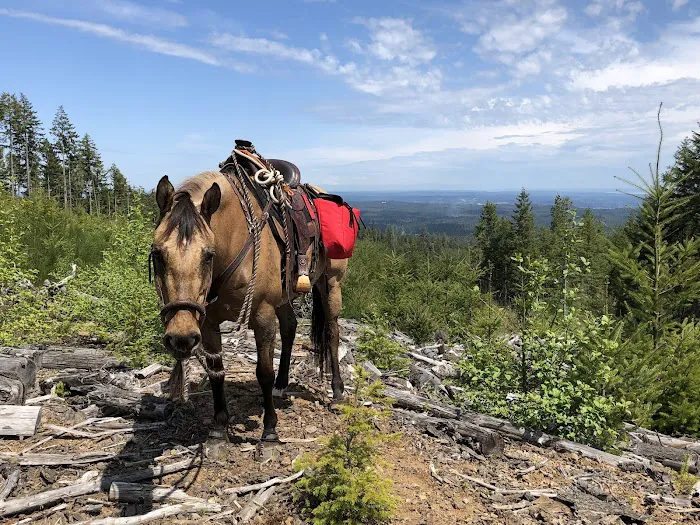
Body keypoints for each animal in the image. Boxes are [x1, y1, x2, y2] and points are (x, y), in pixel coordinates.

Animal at [151, 169, 347, 443]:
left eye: (208, 255)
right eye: (157, 253)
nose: (181, 337)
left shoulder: (262, 315)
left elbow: (264, 372)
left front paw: (270, 430)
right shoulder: (208, 322)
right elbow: (217, 371)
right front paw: (219, 426)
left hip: (331, 284)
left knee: (331, 332)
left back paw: (337, 391)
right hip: (284, 298)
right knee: (289, 328)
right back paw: (281, 385)